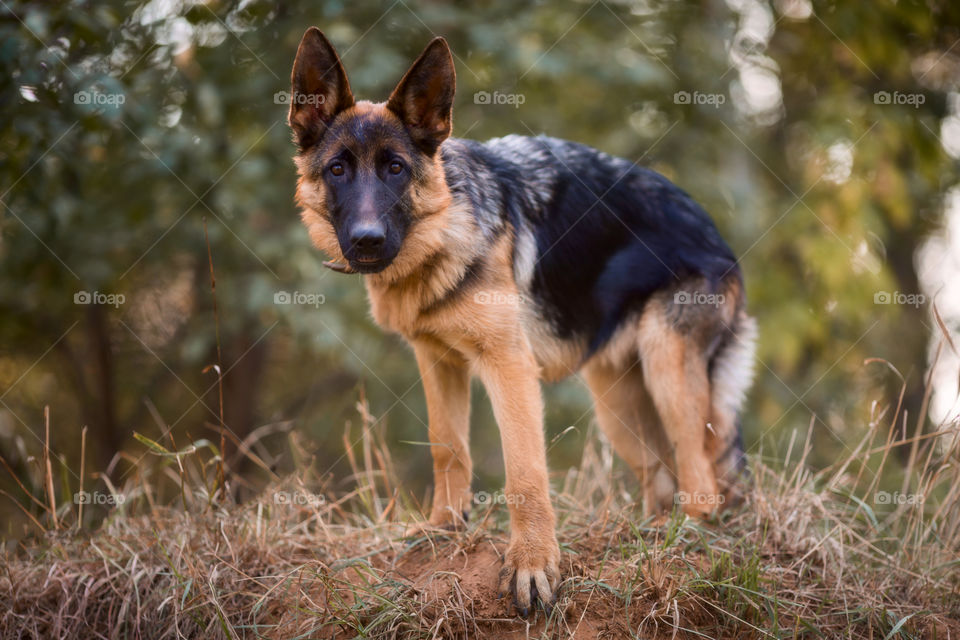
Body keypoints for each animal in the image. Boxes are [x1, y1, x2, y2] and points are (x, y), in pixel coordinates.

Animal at [284, 27, 756, 612]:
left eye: (395, 168)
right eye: (338, 169)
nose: (367, 241)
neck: (447, 227)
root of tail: (713, 232)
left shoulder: (508, 367)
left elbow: (525, 475)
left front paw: (532, 566)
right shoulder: (438, 362)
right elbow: (448, 448)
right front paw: (444, 530)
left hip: (666, 374)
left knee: (700, 477)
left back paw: (687, 542)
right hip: (617, 408)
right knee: (662, 476)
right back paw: (651, 539)